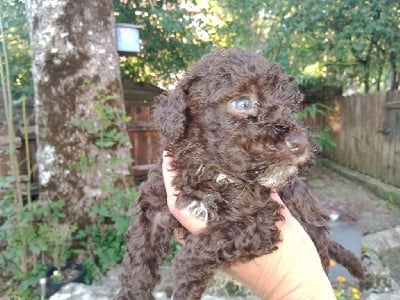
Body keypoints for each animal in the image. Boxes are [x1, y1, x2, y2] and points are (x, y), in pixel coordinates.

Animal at [116, 48, 366, 298]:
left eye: (290, 106)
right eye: (243, 103)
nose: (300, 142)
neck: (212, 172)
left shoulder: (259, 219)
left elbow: (208, 244)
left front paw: (185, 274)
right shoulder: (154, 210)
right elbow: (139, 260)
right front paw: (133, 293)